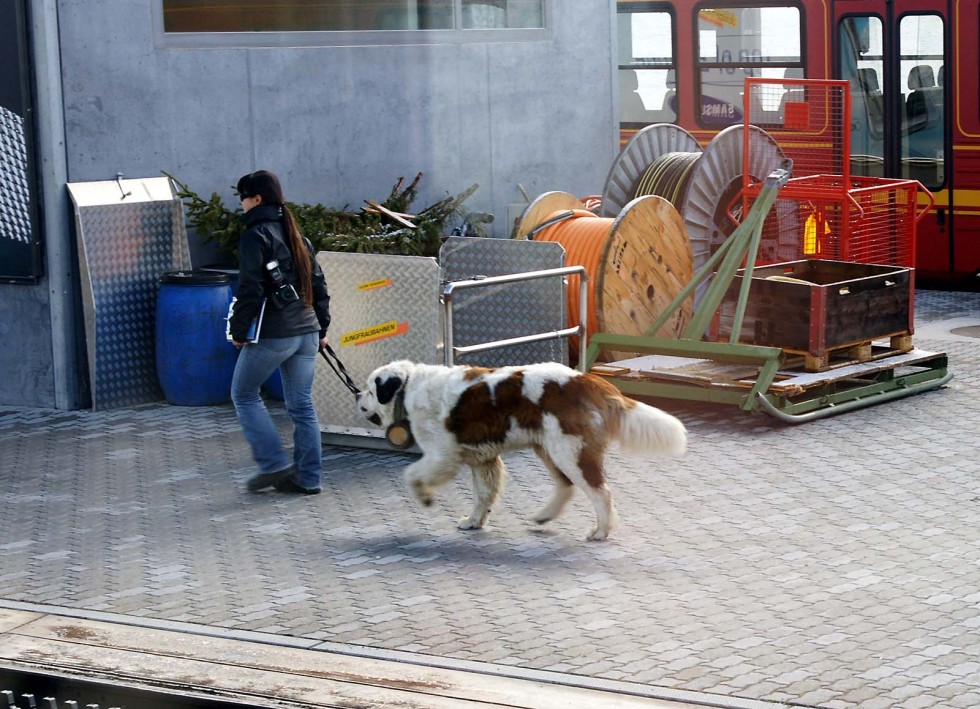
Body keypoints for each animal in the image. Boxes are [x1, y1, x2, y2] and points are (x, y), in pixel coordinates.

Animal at [356, 360, 684, 544]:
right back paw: (544, 516)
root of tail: (584, 378)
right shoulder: (483, 460)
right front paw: (474, 522)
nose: (358, 396)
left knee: (600, 492)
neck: (408, 387)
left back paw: (600, 531)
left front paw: (424, 497)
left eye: (371, 390)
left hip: (568, 451)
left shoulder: (441, 455)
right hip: (549, 448)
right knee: (566, 486)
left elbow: (411, 474)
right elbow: (484, 494)